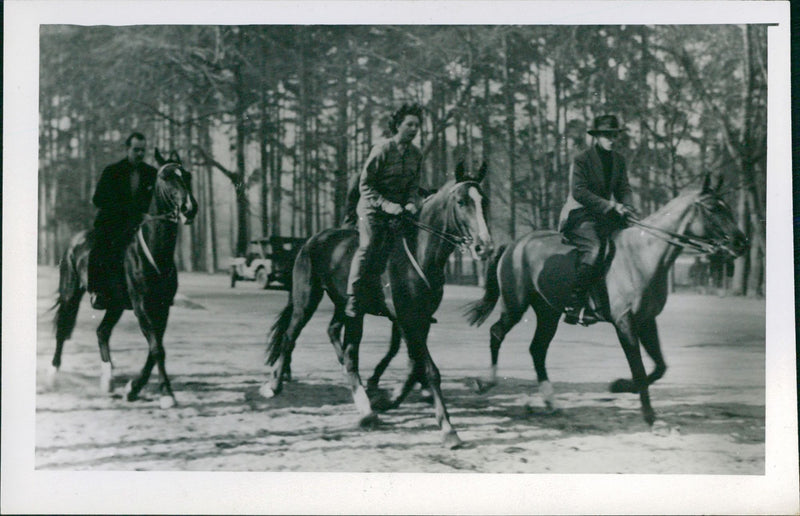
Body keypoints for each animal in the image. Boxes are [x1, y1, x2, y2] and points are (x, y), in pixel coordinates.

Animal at [49, 149, 197, 408]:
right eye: (166, 177)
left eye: (187, 175)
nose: (189, 208)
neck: (154, 250)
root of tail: (74, 241)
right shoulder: (142, 307)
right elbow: (157, 349)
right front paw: (166, 394)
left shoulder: (162, 308)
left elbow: (155, 349)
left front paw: (134, 389)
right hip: (70, 293)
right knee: (62, 329)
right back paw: (53, 374)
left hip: (115, 305)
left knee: (102, 332)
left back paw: (107, 378)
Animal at [260, 162, 494, 448]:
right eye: (461, 201)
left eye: (484, 201)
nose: (484, 247)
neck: (418, 252)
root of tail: (312, 240)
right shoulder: (407, 319)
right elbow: (428, 369)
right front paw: (448, 429)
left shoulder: (420, 319)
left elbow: (413, 365)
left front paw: (390, 398)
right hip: (306, 300)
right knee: (290, 337)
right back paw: (274, 385)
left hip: (348, 308)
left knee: (340, 341)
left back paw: (362, 399)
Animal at [462, 175, 752, 426]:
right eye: (713, 208)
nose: (741, 243)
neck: (643, 255)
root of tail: (514, 245)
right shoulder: (624, 323)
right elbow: (639, 368)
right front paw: (648, 414)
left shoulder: (646, 321)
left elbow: (659, 367)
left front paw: (621, 386)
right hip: (515, 306)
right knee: (497, 333)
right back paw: (485, 382)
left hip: (548, 312)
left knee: (537, 350)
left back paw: (550, 401)